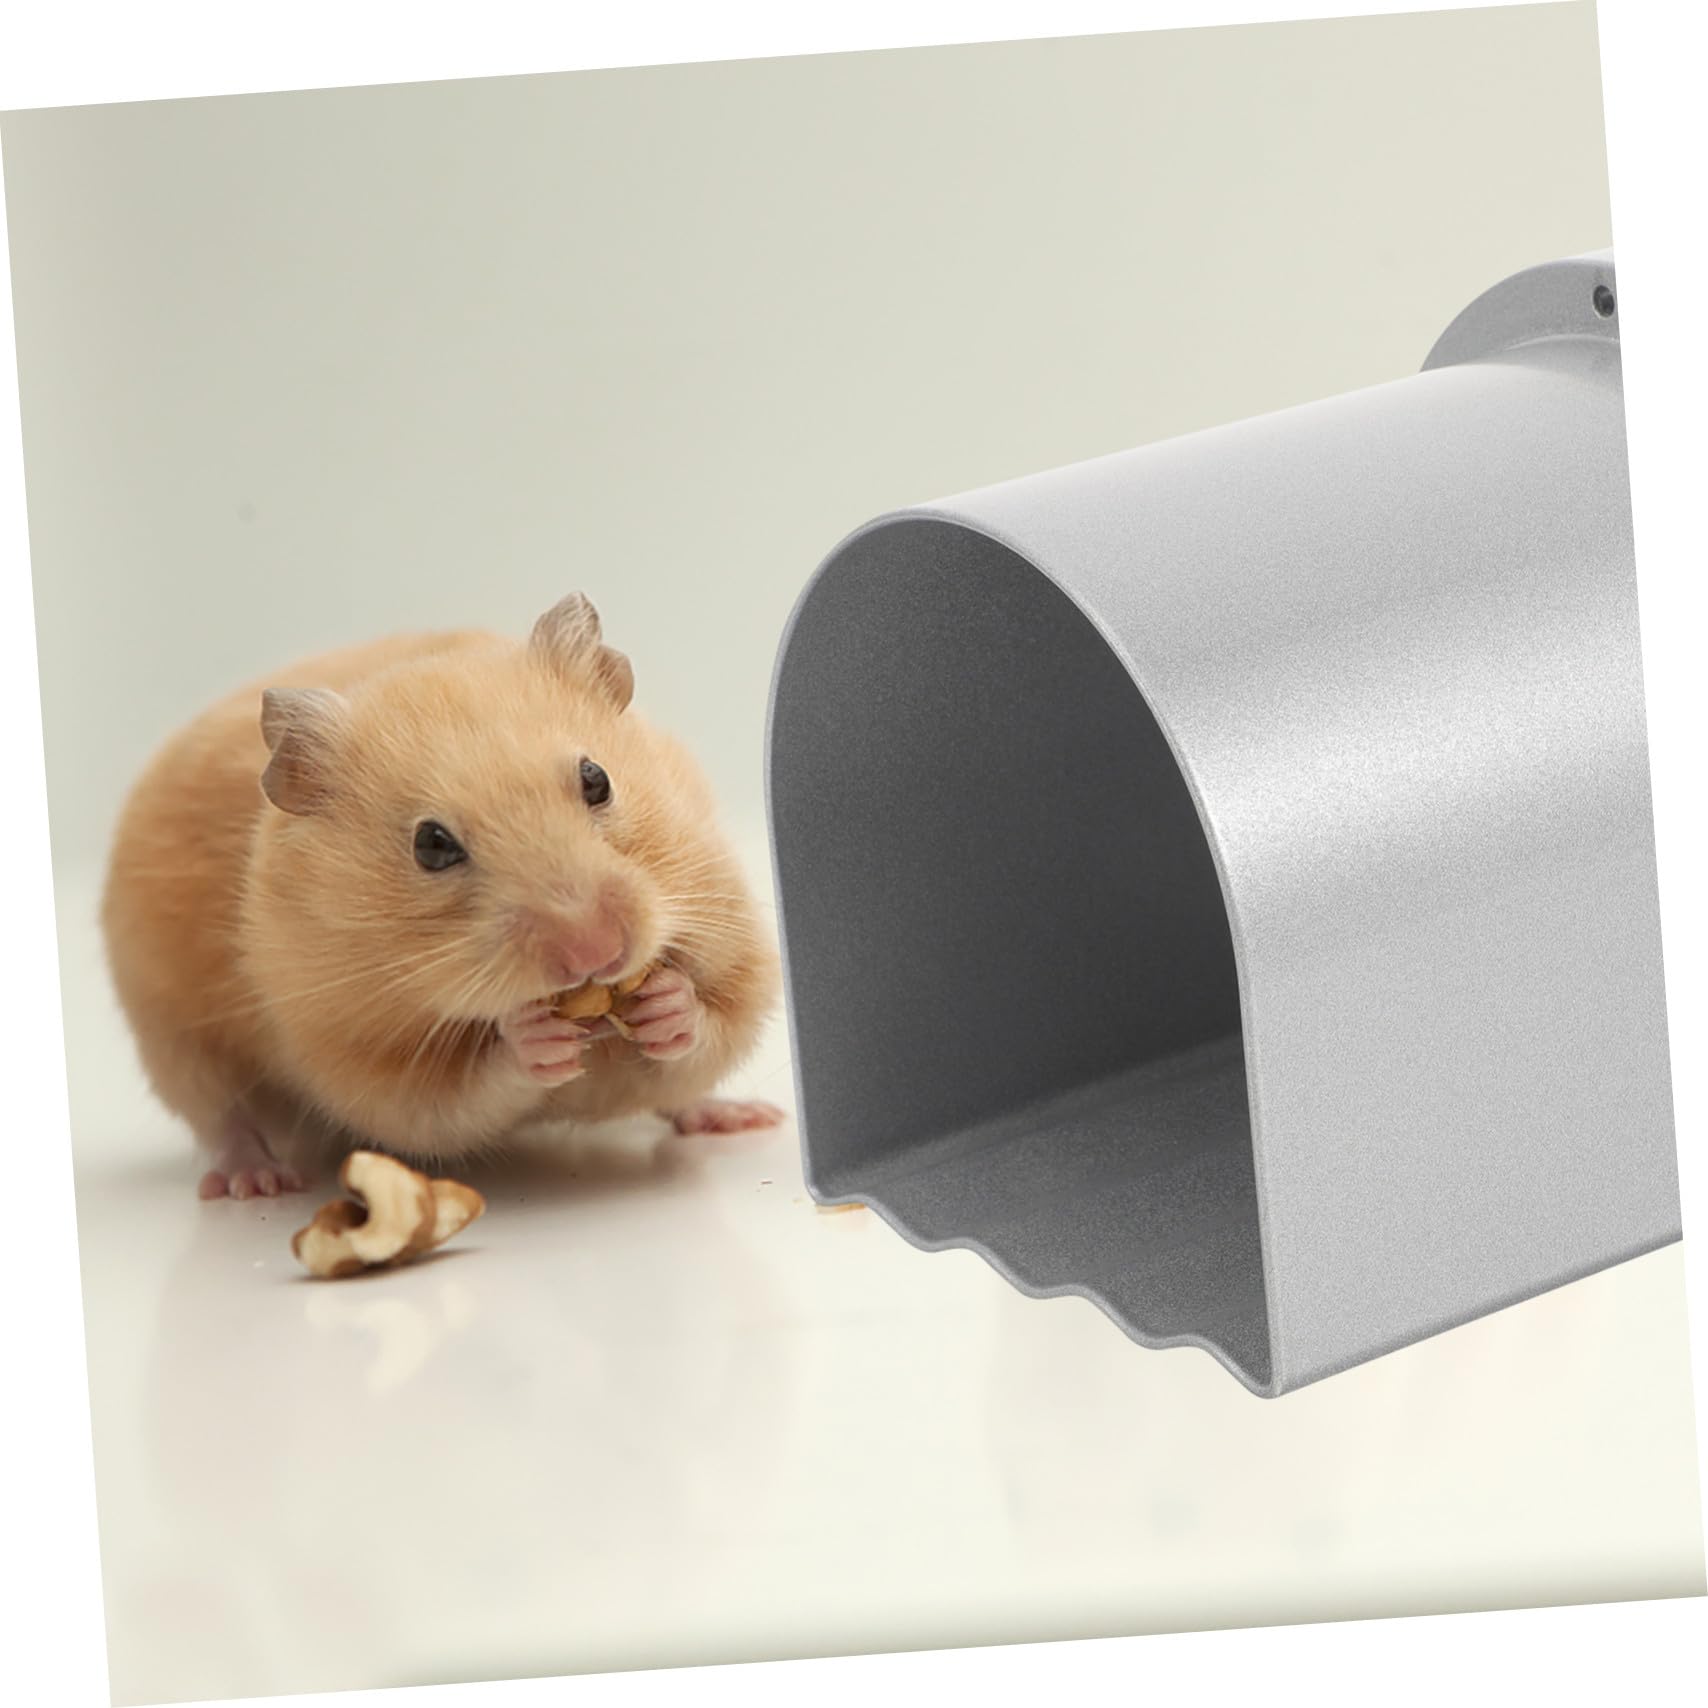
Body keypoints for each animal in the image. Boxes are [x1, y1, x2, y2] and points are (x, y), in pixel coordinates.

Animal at [101, 593, 783, 1199]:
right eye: (431, 845)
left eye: (598, 780)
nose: (596, 953)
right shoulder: (356, 1056)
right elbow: (455, 1095)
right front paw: (532, 1037)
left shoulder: (735, 938)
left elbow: (713, 1027)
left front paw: (666, 1002)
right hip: (172, 1038)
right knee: (222, 1118)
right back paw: (255, 1181)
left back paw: (745, 1118)